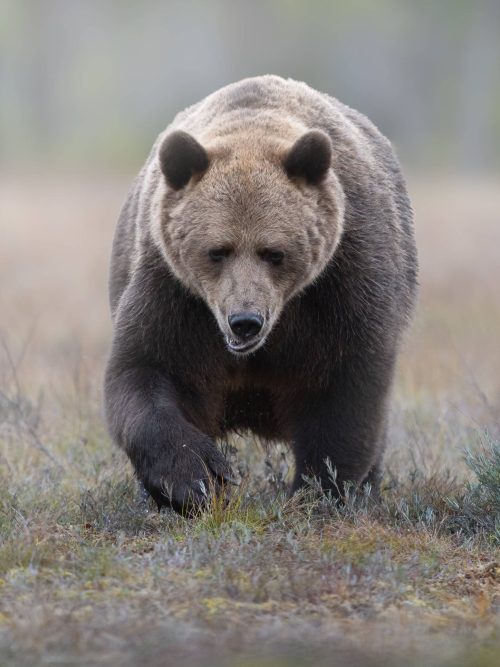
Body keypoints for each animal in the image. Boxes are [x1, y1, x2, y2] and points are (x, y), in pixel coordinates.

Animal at [104, 77, 418, 516]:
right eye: (217, 250)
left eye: (274, 252)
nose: (245, 321)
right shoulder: (174, 291)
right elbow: (146, 369)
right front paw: (197, 478)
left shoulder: (346, 280)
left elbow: (346, 392)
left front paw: (319, 490)